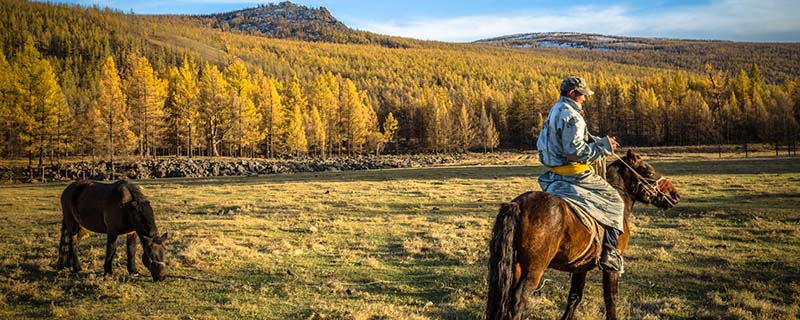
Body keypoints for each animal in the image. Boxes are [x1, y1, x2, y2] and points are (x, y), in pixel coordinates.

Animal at [488, 151, 680, 320]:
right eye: (648, 171)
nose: (675, 194)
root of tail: (517, 205)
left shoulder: (581, 267)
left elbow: (575, 296)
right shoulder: (611, 269)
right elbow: (611, 298)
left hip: (517, 266)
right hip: (534, 269)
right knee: (518, 301)